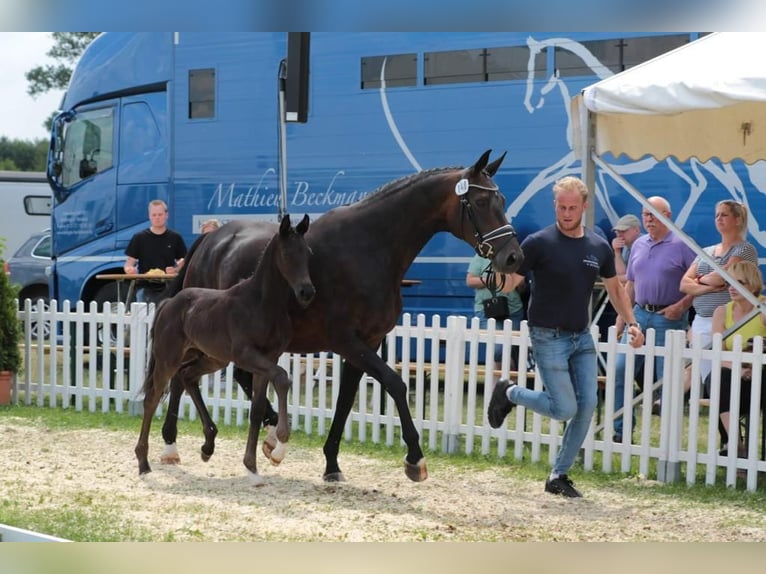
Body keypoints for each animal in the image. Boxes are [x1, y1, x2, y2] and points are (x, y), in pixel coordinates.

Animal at [134, 214, 314, 484]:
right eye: (287, 253)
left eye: (308, 252)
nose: (307, 292)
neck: (259, 303)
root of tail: (168, 303)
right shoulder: (246, 355)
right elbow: (283, 378)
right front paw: (280, 444)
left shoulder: (268, 358)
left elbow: (257, 409)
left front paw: (252, 468)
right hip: (168, 359)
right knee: (153, 397)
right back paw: (144, 462)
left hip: (211, 359)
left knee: (187, 377)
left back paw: (207, 444)